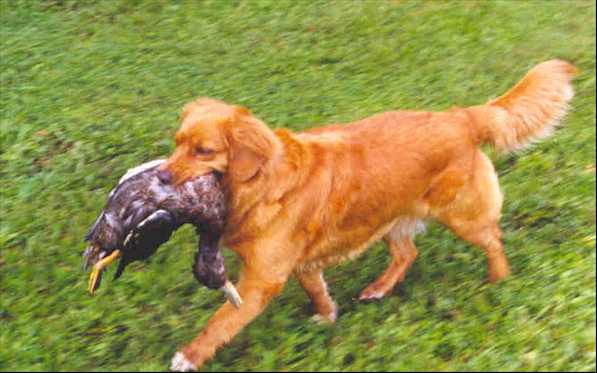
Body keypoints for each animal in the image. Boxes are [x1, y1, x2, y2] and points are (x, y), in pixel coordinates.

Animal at [162, 59, 572, 368]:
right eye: (177, 143)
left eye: (204, 151)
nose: (162, 177)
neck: (262, 183)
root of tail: (461, 117)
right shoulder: (301, 263)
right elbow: (317, 290)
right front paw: (327, 315)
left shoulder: (260, 281)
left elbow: (220, 322)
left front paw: (189, 356)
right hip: (388, 215)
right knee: (408, 253)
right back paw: (379, 288)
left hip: (462, 217)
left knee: (493, 240)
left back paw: (498, 279)